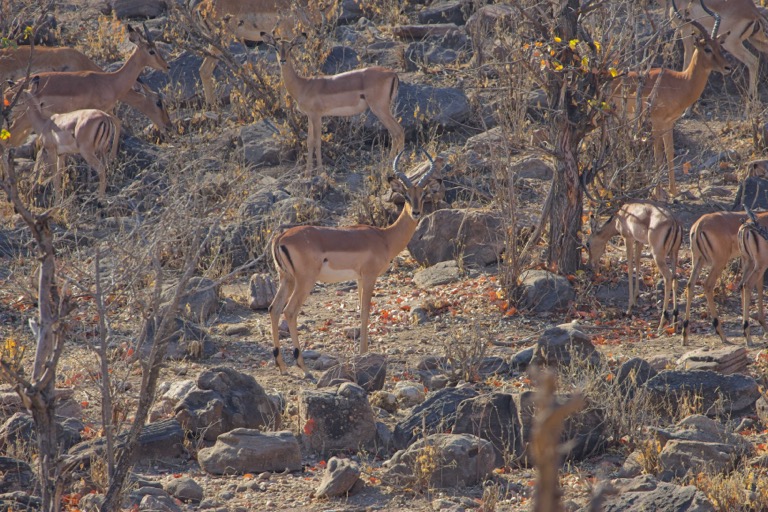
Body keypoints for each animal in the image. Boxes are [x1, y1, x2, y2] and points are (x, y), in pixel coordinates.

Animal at [265, 34, 405, 177]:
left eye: (290, 47)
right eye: (276, 47)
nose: (282, 60)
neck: (303, 85)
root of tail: (392, 73)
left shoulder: (317, 116)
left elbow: (317, 141)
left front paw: (321, 172)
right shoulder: (310, 116)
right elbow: (309, 142)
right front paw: (307, 174)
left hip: (380, 109)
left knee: (397, 131)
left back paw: (392, 166)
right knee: (398, 132)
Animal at [268, 149, 439, 378]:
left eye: (423, 195)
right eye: (406, 195)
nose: (416, 213)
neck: (385, 237)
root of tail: (281, 237)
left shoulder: (358, 278)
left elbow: (359, 311)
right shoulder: (369, 277)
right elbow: (366, 312)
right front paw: (364, 353)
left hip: (286, 279)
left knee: (274, 308)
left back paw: (281, 365)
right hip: (305, 281)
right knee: (289, 311)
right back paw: (303, 366)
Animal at [587, 202, 683, 332]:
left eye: (587, 244)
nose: (590, 265)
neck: (620, 216)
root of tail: (674, 222)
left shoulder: (628, 238)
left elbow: (630, 265)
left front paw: (629, 308)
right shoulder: (639, 241)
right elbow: (637, 262)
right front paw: (636, 297)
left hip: (658, 256)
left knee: (668, 278)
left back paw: (661, 323)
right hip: (674, 254)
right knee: (675, 278)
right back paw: (675, 321)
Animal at [610, 0, 731, 197]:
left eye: (720, 47)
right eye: (707, 48)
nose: (727, 67)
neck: (680, 82)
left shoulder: (669, 123)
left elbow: (669, 153)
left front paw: (673, 192)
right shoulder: (656, 123)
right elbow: (658, 154)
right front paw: (658, 194)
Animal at [682, 210, 768, 345]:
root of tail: (699, 225)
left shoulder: (748, 261)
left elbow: (756, 287)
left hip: (698, 260)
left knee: (690, 285)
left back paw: (685, 335)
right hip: (722, 262)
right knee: (710, 285)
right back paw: (728, 335)